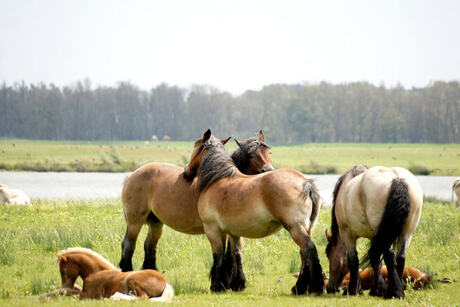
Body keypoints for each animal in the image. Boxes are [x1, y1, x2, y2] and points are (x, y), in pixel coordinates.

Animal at [118, 131, 274, 274]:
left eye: (269, 152)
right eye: (251, 155)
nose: (269, 171)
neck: (229, 181)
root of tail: (133, 174)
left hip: (156, 223)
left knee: (149, 246)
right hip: (135, 222)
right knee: (129, 245)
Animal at [183, 130, 324, 296]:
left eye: (195, 146)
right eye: (251, 156)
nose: (186, 171)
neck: (218, 179)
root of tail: (306, 183)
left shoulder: (213, 230)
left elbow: (218, 257)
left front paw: (216, 286)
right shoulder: (233, 232)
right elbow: (236, 253)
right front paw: (237, 284)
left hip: (295, 228)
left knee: (308, 249)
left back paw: (313, 287)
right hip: (307, 228)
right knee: (304, 253)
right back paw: (299, 288)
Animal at [326, 165, 422, 300]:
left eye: (328, 254)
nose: (330, 288)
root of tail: (397, 180)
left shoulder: (346, 234)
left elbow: (353, 260)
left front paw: (353, 290)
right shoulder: (375, 237)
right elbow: (376, 260)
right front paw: (376, 290)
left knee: (390, 256)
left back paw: (394, 292)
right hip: (406, 233)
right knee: (400, 258)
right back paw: (395, 290)